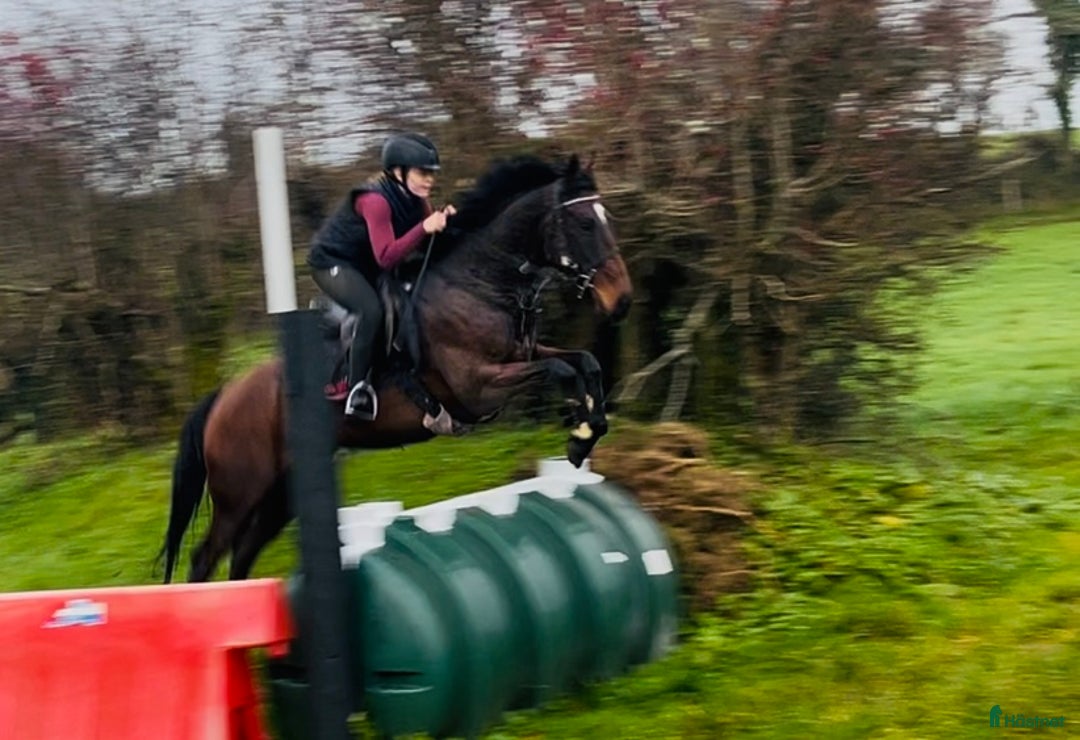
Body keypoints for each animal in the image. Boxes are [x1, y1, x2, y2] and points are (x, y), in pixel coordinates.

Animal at [159, 153, 633, 583]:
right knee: (206, 558)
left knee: (241, 557)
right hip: (240, 492)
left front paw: (586, 434)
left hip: (281, 494)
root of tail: (224, 396)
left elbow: (584, 362)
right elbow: (560, 372)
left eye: (606, 217)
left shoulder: (523, 355)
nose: (622, 301)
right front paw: (580, 433)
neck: (480, 284)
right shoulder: (480, 388)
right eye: (584, 224)